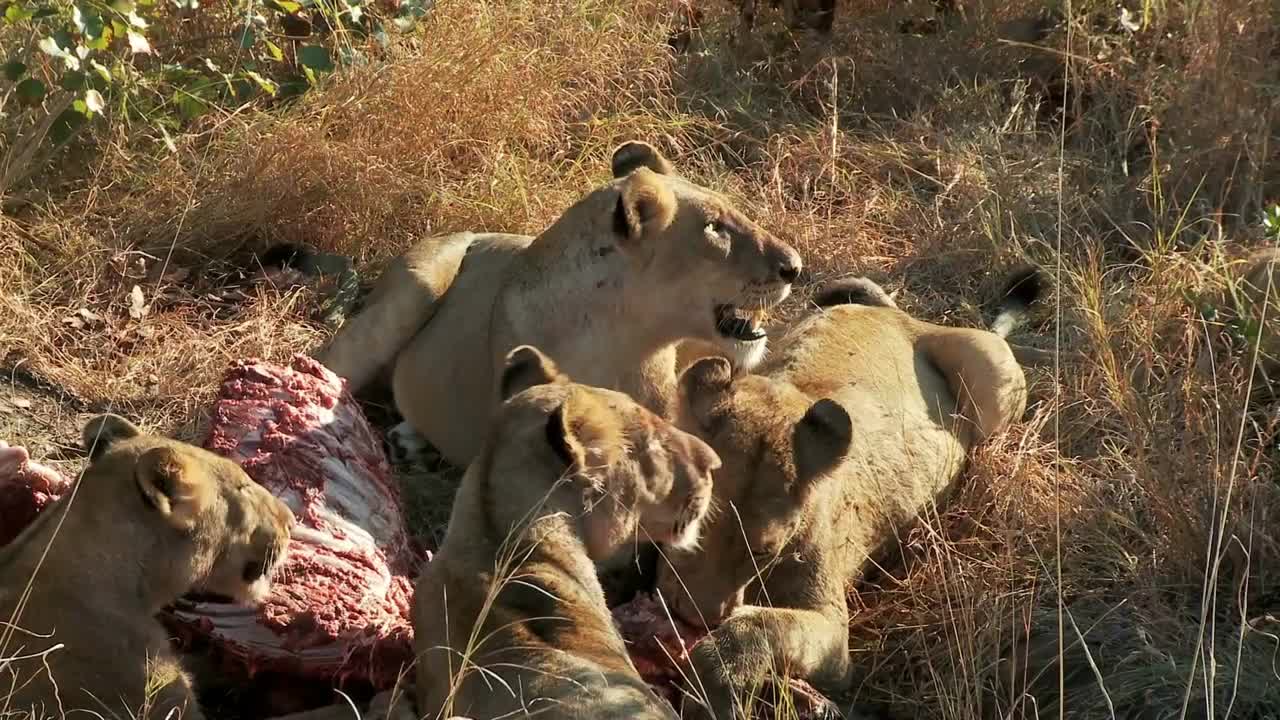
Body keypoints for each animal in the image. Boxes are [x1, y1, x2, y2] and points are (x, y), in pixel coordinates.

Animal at [655, 271, 1034, 712]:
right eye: (687, 531)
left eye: (763, 552)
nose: (694, 619)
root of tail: (900, 316)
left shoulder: (836, 640)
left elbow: (764, 625)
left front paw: (713, 680)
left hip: (991, 371)